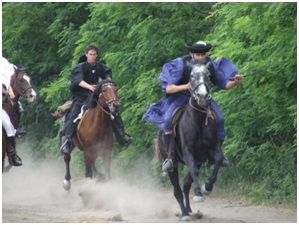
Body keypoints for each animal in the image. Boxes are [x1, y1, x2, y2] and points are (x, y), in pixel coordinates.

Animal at [158, 61, 224, 220]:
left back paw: (188, 210)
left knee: (186, 185)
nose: (202, 96)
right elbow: (193, 171)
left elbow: (218, 159)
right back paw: (184, 213)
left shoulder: (213, 148)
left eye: (208, 75)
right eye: (192, 76)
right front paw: (199, 193)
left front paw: (207, 187)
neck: (198, 119)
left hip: (199, 160)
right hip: (172, 164)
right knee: (177, 189)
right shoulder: (188, 152)